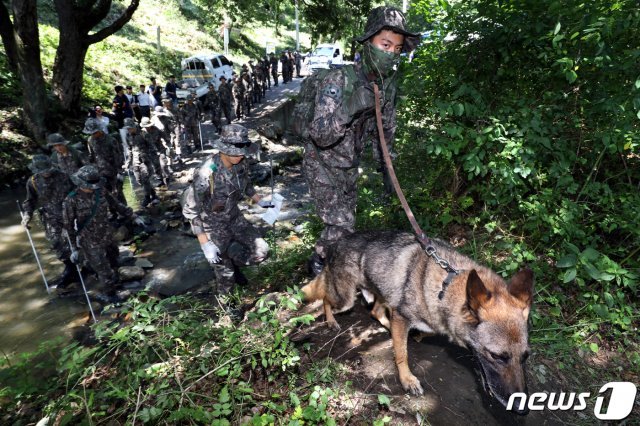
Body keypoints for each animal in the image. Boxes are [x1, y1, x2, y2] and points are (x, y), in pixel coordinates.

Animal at [302, 231, 532, 412]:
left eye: (525, 357)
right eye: (497, 356)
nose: (521, 409)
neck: (445, 284)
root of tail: (336, 242)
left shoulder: (421, 318)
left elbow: (424, 331)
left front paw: (418, 335)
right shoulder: (403, 316)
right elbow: (401, 354)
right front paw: (407, 380)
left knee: (375, 311)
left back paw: (389, 326)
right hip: (345, 300)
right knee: (326, 300)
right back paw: (331, 321)